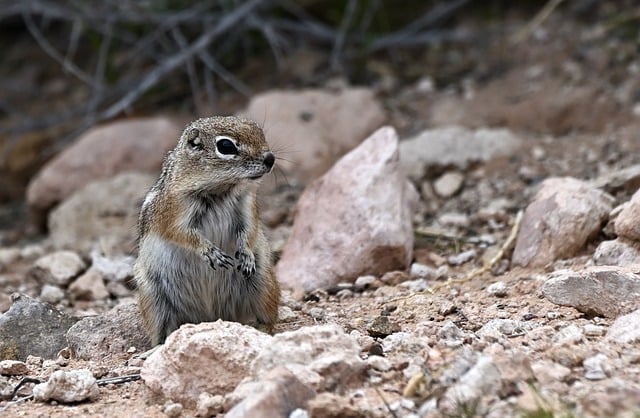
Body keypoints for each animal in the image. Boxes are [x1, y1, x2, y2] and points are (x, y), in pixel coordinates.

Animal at [135, 116, 280, 344]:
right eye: (226, 146)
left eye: (260, 132)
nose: (270, 158)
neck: (221, 189)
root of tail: (210, 316)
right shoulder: (172, 212)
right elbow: (181, 234)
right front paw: (210, 252)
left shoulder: (247, 206)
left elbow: (249, 230)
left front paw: (246, 255)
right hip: (153, 299)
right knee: (162, 333)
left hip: (264, 283)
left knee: (268, 317)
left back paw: (261, 329)